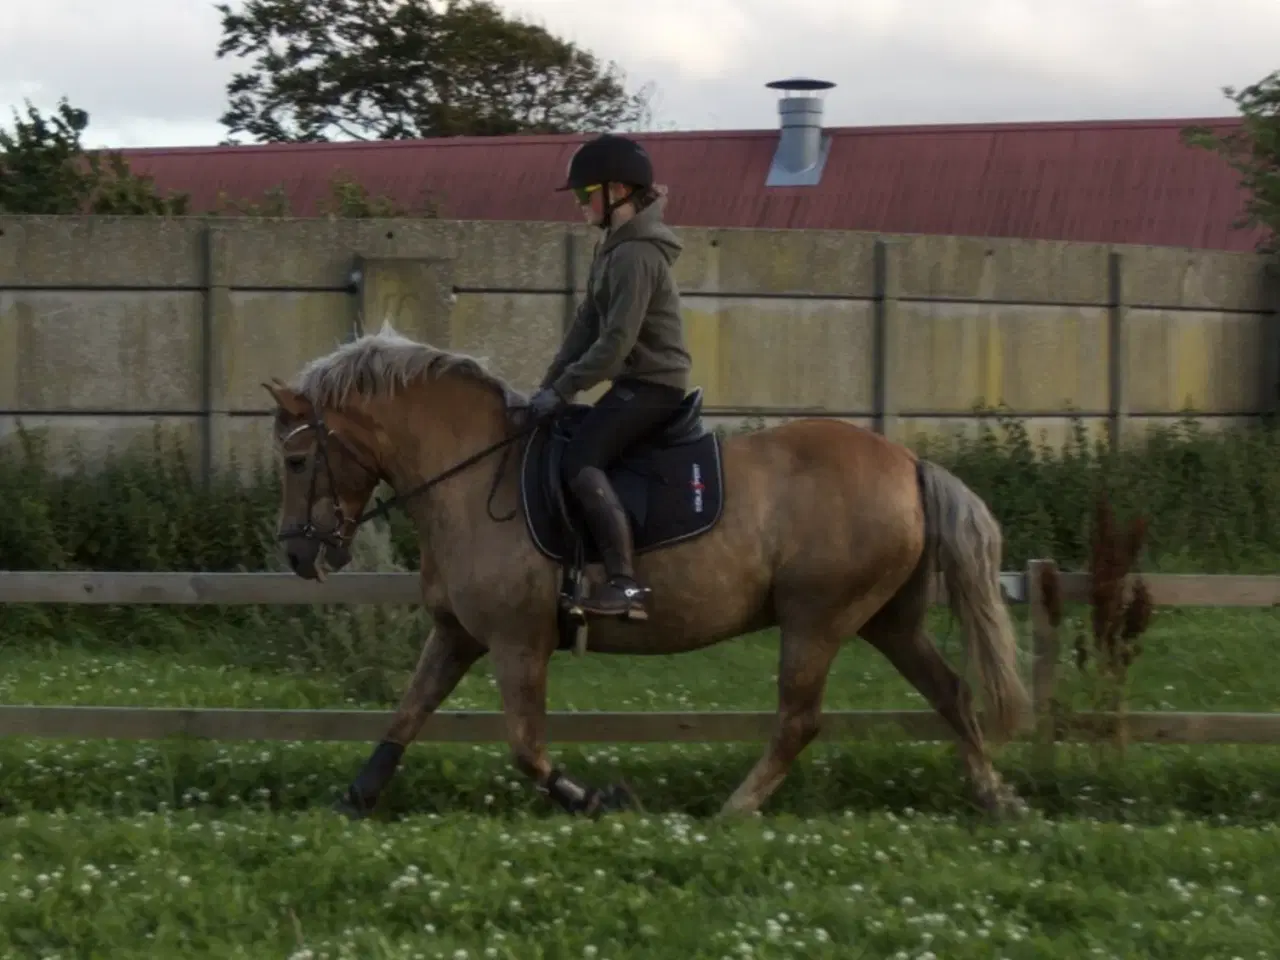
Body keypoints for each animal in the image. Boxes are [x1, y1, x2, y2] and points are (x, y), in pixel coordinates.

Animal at [264, 327, 1034, 824]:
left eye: (298, 461)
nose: (299, 556)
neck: (475, 475)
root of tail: (908, 463)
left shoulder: (518, 643)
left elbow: (526, 748)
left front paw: (598, 799)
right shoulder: (457, 635)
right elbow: (406, 713)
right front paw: (354, 800)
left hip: (817, 619)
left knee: (799, 720)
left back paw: (734, 811)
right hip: (887, 619)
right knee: (951, 692)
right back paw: (997, 801)